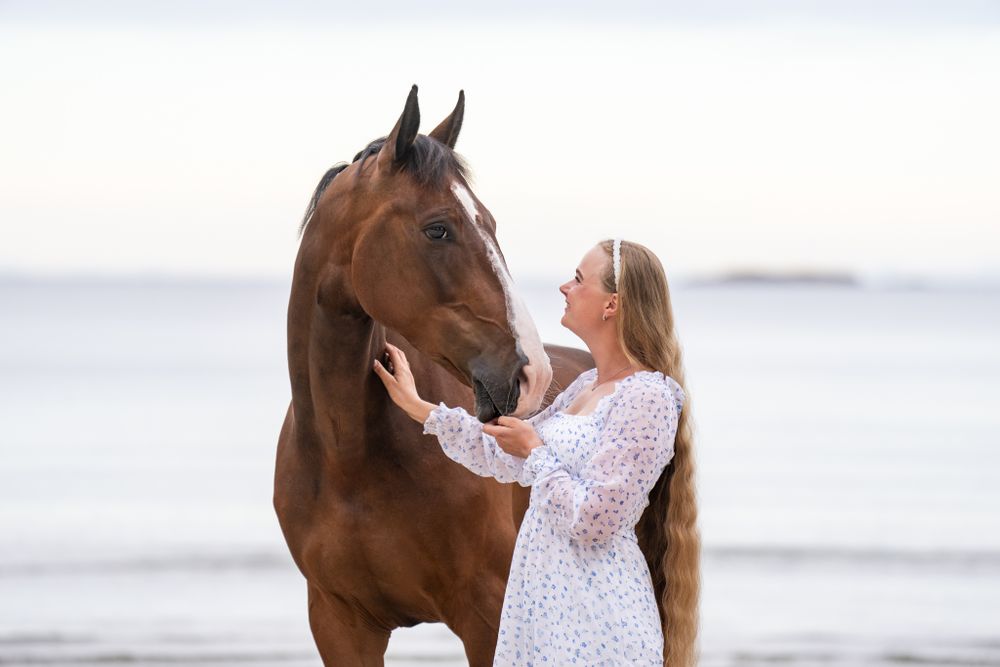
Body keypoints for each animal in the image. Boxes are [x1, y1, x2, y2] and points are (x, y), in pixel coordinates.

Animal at [273, 85, 594, 665]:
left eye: (491, 223)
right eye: (437, 228)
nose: (532, 374)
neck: (347, 459)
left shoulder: (486, 615)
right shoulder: (338, 624)